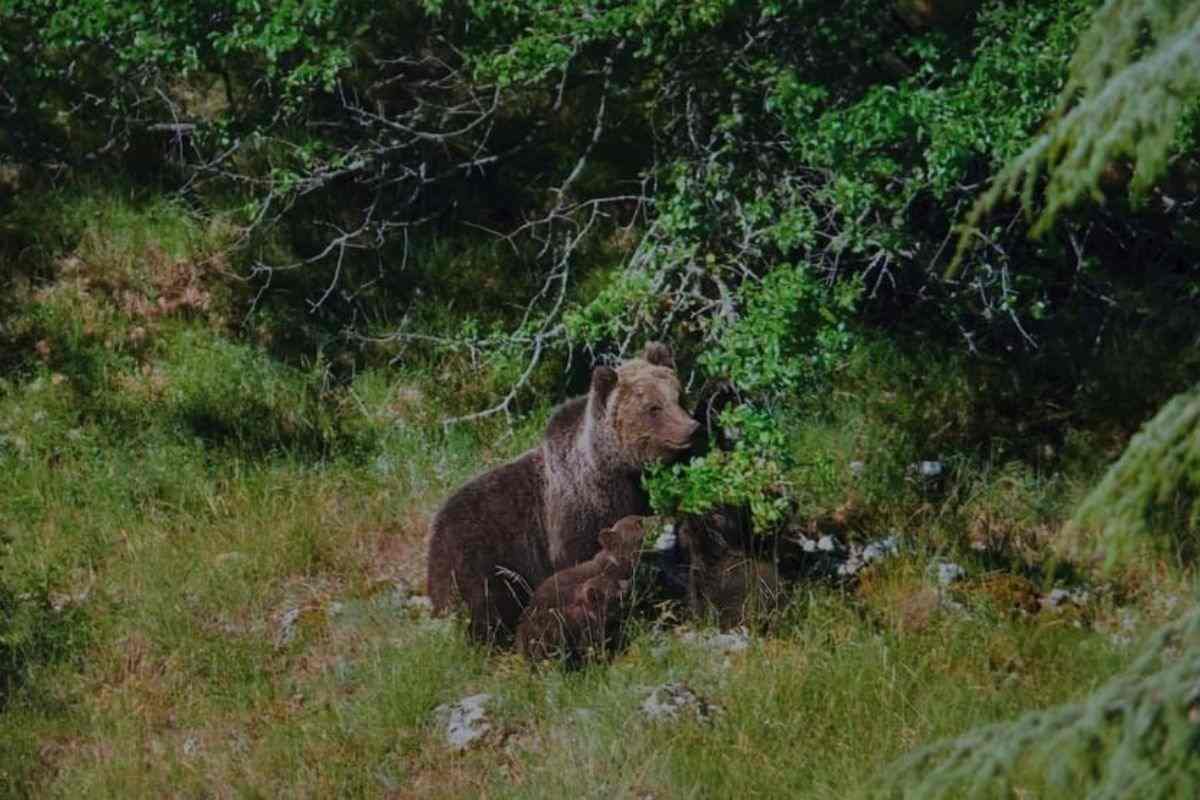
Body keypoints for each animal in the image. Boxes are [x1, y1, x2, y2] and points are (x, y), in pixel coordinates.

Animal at [426, 343, 699, 645]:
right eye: (653, 407)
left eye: (679, 396)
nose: (692, 429)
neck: (618, 470)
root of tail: (434, 526)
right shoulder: (577, 514)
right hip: (474, 554)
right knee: (482, 604)